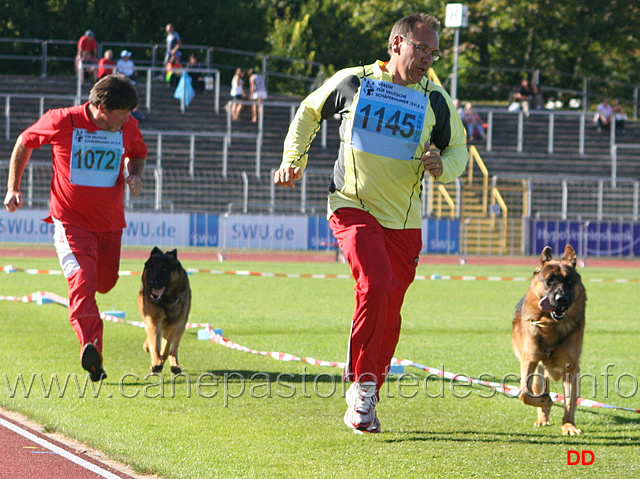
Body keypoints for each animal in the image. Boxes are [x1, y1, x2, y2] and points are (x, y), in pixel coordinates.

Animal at [139, 248, 191, 376]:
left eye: (164, 269)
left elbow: (166, 348)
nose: (152, 282)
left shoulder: (172, 326)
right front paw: (156, 363)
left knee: (173, 349)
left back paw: (175, 365)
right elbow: (154, 346)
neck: (165, 301)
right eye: (150, 268)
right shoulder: (153, 322)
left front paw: (161, 360)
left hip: (181, 326)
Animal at [512, 246, 588, 436]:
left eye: (569, 282)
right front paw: (545, 401)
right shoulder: (530, 361)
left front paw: (569, 426)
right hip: (538, 372)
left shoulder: (571, 368)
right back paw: (542, 416)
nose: (562, 299)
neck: (551, 325)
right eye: (549, 281)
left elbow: (569, 402)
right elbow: (524, 393)